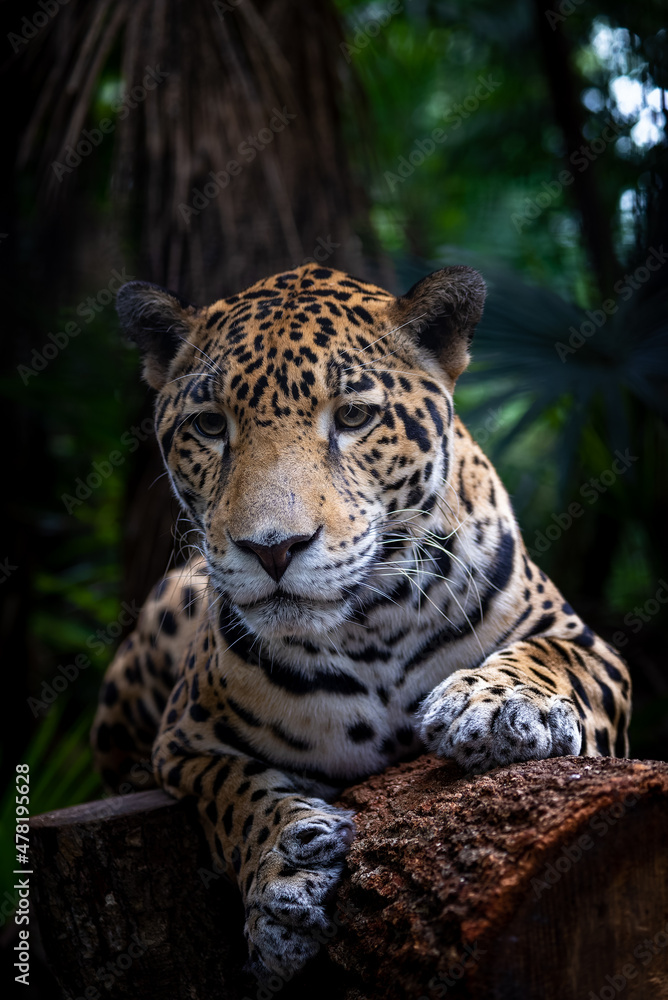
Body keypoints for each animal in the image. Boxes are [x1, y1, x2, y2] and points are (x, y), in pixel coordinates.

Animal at [91, 262, 631, 979]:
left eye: (352, 417)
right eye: (209, 425)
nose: (272, 548)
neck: (371, 624)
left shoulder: (587, 644)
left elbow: (551, 659)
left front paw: (498, 706)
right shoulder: (185, 740)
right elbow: (230, 795)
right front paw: (283, 878)